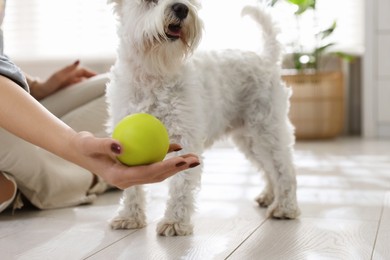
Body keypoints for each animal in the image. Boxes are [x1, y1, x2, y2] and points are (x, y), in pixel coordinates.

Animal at [105, 0, 300, 236]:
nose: (181, 8)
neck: (154, 73)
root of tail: (266, 59)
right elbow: (132, 186)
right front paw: (129, 217)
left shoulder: (184, 138)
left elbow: (181, 184)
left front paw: (174, 222)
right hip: (248, 139)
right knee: (268, 167)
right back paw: (269, 196)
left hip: (267, 130)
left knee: (283, 168)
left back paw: (284, 207)